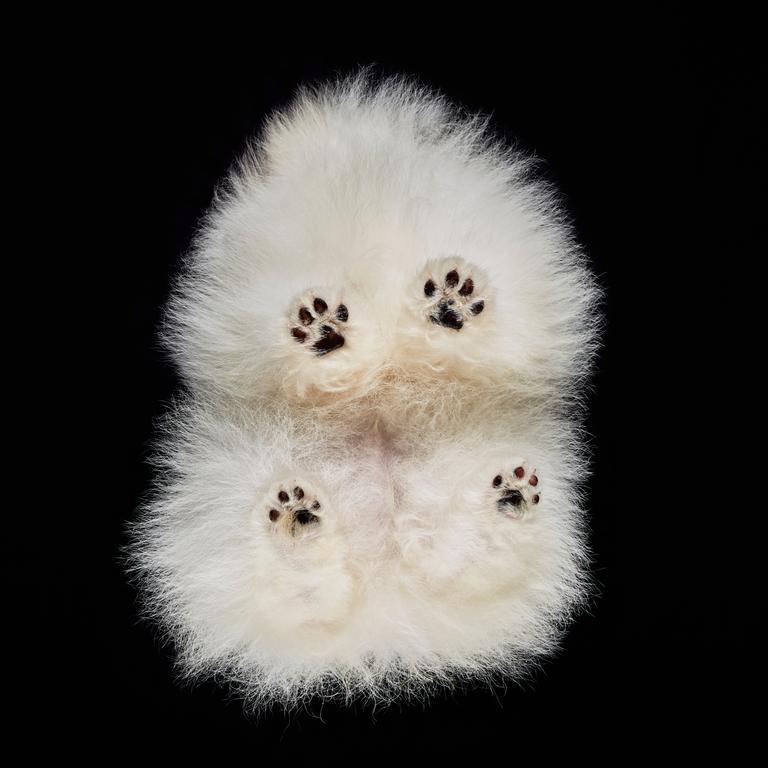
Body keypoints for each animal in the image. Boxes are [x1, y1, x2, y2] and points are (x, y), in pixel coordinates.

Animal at [129, 72, 604, 708]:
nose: (325, 323)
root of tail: (385, 595)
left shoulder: (524, 301)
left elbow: (482, 341)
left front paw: (450, 303)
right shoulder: (248, 300)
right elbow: (283, 342)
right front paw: (324, 331)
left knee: (466, 560)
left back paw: (502, 496)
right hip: (224, 519)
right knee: (298, 590)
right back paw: (299, 515)